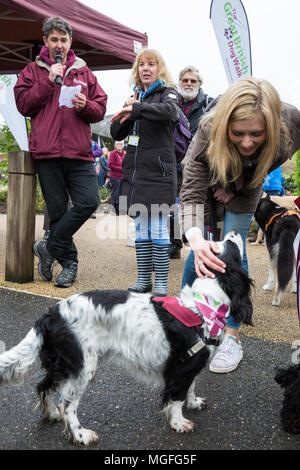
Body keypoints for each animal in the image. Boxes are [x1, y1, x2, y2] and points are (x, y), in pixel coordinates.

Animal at [0, 233, 253, 446]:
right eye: (228, 245)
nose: (234, 233)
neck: (202, 306)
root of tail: (51, 314)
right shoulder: (182, 366)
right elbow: (177, 397)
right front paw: (179, 422)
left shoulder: (190, 365)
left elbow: (190, 387)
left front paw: (194, 403)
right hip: (82, 367)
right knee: (67, 404)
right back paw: (81, 435)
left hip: (63, 364)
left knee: (44, 386)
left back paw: (51, 413)